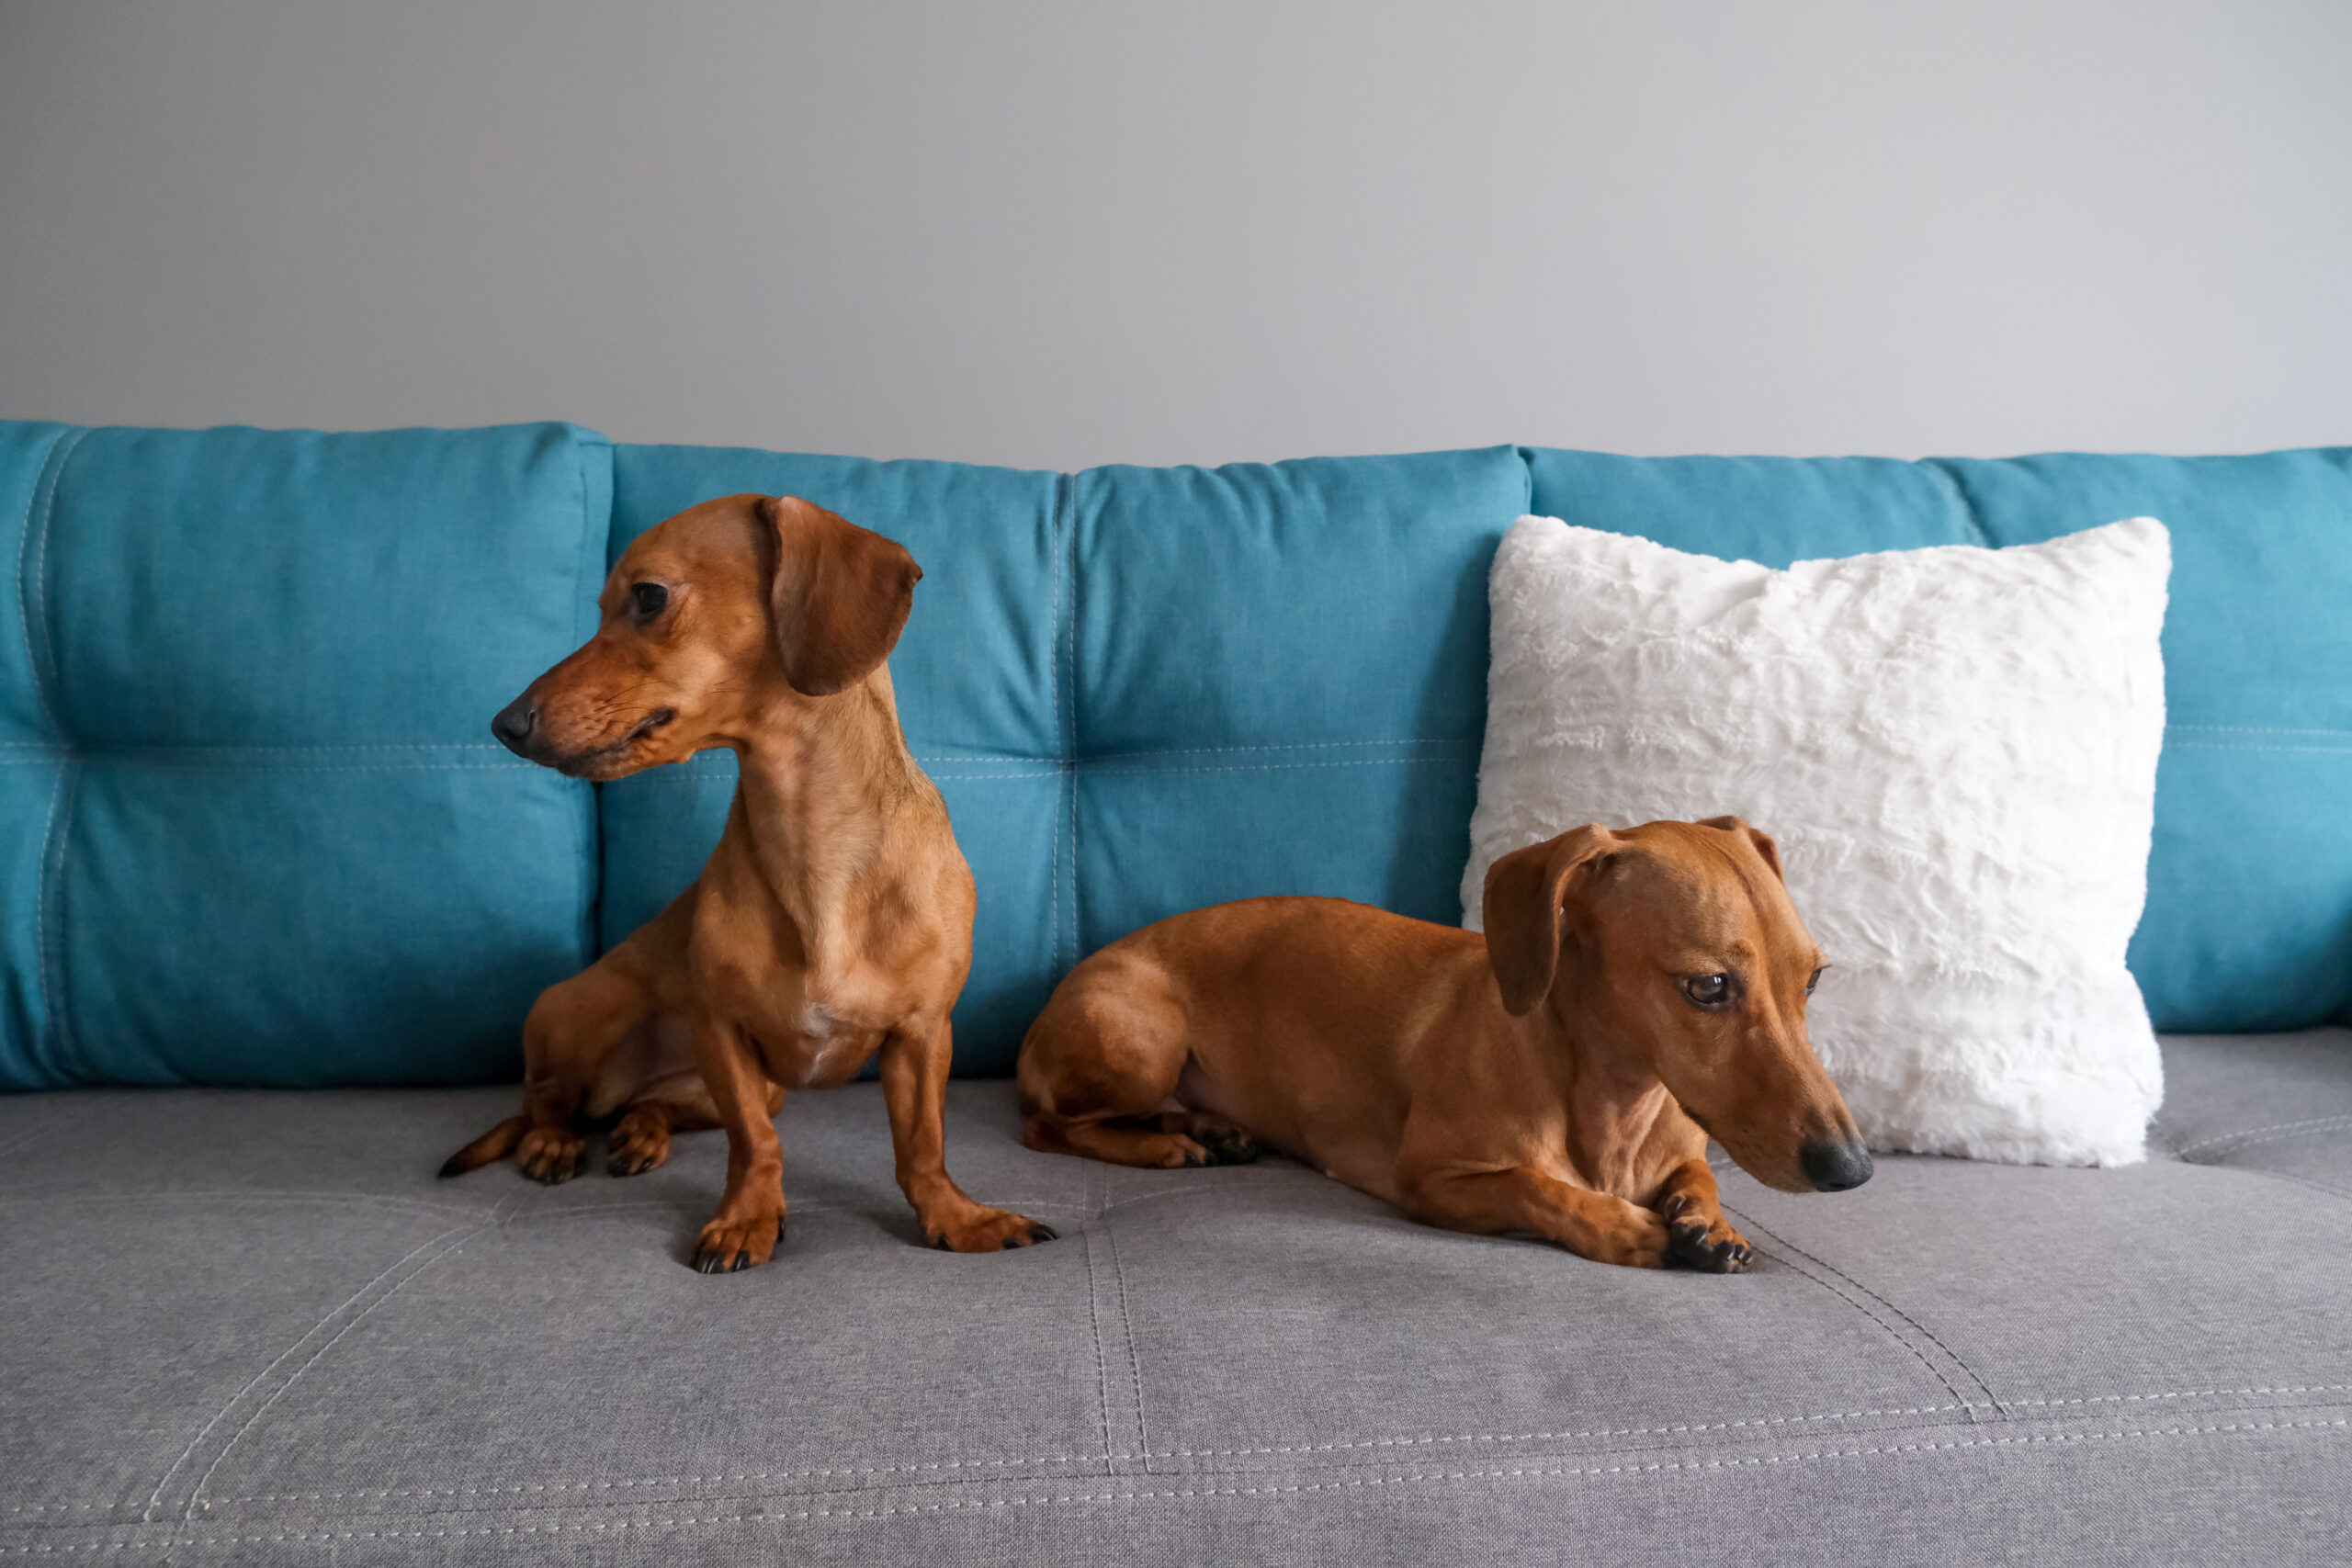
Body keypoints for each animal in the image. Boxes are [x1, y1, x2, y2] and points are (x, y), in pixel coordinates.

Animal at [444, 495, 1053, 1269]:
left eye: (648, 597)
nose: (504, 724)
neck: (814, 842)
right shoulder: (722, 1034)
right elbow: (753, 1144)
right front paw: (747, 1217)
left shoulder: (921, 1035)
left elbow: (922, 1146)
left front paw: (956, 1216)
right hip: (576, 1008)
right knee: (547, 1099)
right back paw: (555, 1140)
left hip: (750, 1086)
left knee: (650, 1105)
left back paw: (640, 1131)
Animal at [1021, 822, 1862, 1279]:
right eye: (1709, 985)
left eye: (1814, 978)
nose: (1853, 1170)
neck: (1616, 1104)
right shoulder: (1432, 1180)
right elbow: (1535, 1185)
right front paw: (1623, 1227)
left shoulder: (1682, 1145)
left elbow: (1697, 1176)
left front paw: (1710, 1224)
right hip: (1144, 1040)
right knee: (1051, 1126)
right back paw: (1163, 1146)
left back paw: (1206, 1130)